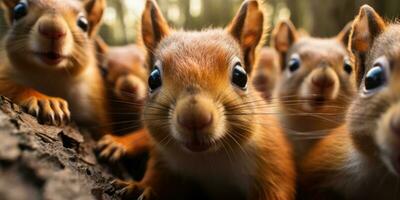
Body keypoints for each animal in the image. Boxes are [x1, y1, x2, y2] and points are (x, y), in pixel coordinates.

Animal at [111, 0, 296, 200]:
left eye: (240, 76)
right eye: (153, 78)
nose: (194, 118)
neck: (209, 158)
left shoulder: (272, 160)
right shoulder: (164, 157)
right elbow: (156, 177)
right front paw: (139, 187)